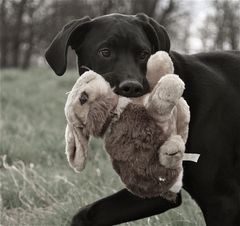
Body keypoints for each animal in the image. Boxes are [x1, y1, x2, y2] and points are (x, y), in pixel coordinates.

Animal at [45, 13, 240, 225]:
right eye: (105, 52)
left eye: (143, 54)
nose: (131, 87)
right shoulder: (155, 185)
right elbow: (88, 212)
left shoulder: (221, 199)